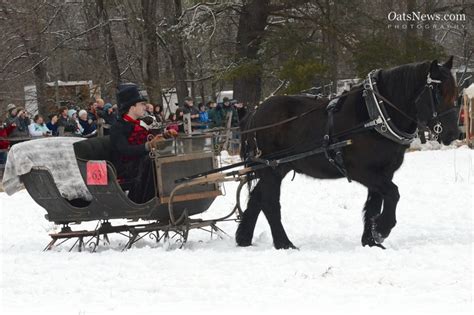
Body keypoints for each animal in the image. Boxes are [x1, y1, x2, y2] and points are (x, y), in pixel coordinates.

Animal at [237, 57, 460, 249]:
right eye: (438, 92)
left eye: (455, 93)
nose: (453, 133)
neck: (375, 116)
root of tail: (256, 111)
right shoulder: (361, 170)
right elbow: (393, 193)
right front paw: (382, 229)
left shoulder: (383, 172)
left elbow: (374, 204)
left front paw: (371, 240)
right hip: (272, 169)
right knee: (269, 203)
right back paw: (284, 243)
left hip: (277, 168)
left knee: (257, 199)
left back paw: (244, 238)